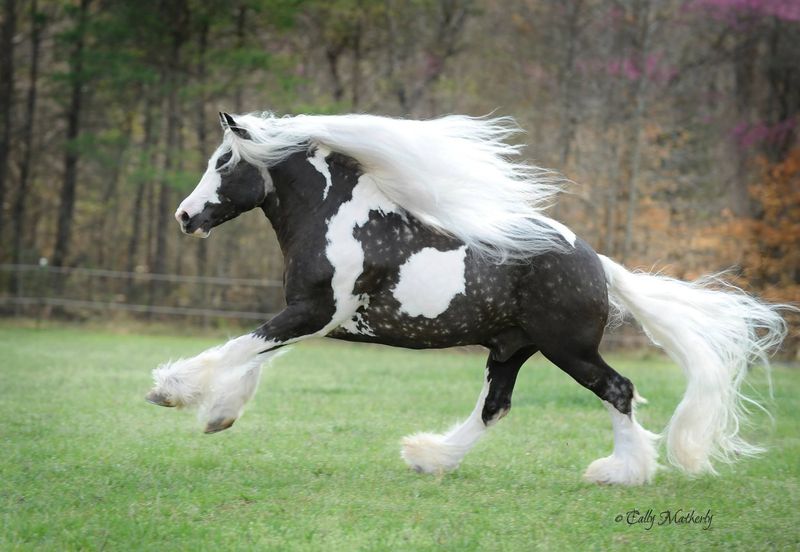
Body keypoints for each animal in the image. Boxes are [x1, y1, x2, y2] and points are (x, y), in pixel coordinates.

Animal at [145, 110, 788, 486]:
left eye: (223, 162)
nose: (184, 216)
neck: (339, 219)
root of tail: (595, 261)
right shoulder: (316, 316)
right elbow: (257, 353)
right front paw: (219, 415)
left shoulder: (316, 311)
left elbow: (240, 347)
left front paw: (170, 391)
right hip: (510, 348)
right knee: (494, 407)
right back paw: (429, 457)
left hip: (568, 348)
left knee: (618, 390)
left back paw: (619, 473)